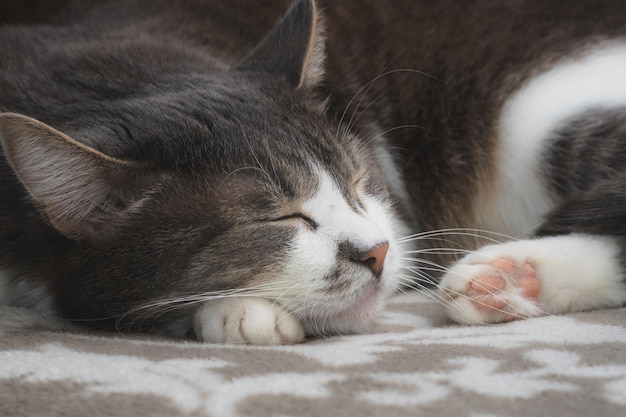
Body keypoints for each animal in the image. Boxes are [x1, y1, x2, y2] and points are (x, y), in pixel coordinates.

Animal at [1, 0, 624, 344]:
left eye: (357, 183)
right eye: (276, 220)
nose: (377, 253)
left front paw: (238, 314)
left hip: (539, 113)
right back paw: (509, 280)